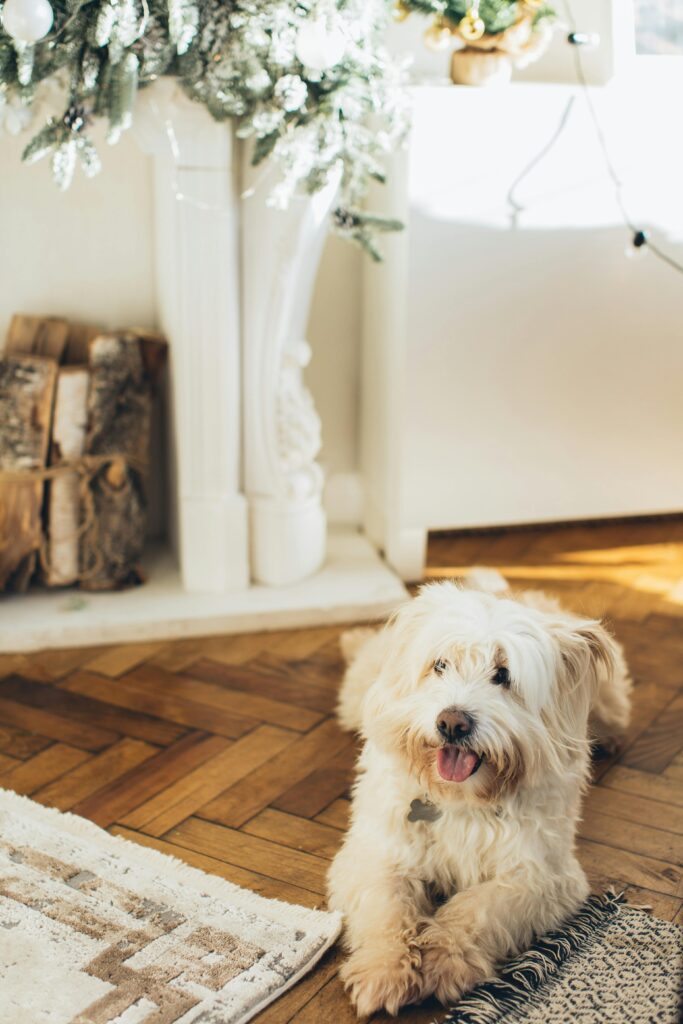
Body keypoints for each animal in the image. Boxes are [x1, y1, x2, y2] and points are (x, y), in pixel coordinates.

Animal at [327, 577, 634, 1015]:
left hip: (609, 703)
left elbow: (479, 909)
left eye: (503, 675)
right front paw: (384, 968)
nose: (452, 722)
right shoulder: (379, 854)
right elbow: (385, 909)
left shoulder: (540, 876)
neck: (461, 798)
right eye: (440, 665)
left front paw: (444, 959)